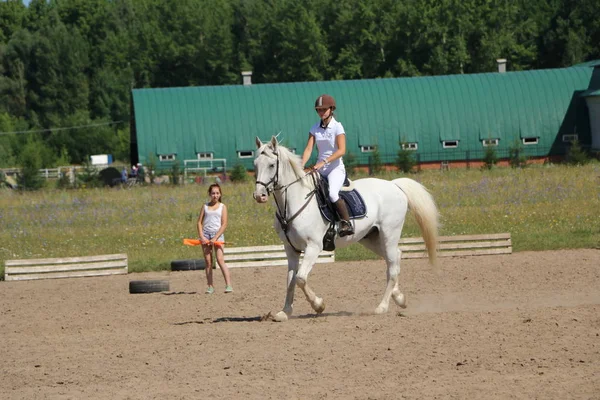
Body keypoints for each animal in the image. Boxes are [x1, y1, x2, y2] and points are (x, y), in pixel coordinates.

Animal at [253, 137, 440, 322]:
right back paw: (399, 298)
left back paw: (382, 307)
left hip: (389, 234)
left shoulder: (313, 247)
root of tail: (394, 185)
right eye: (255, 164)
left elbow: (300, 279)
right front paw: (285, 312)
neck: (294, 202)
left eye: (271, 165)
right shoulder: (291, 249)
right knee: (394, 259)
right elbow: (290, 280)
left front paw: (319, 305)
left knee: (393, 267)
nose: (259, 196)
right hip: (371, 238)